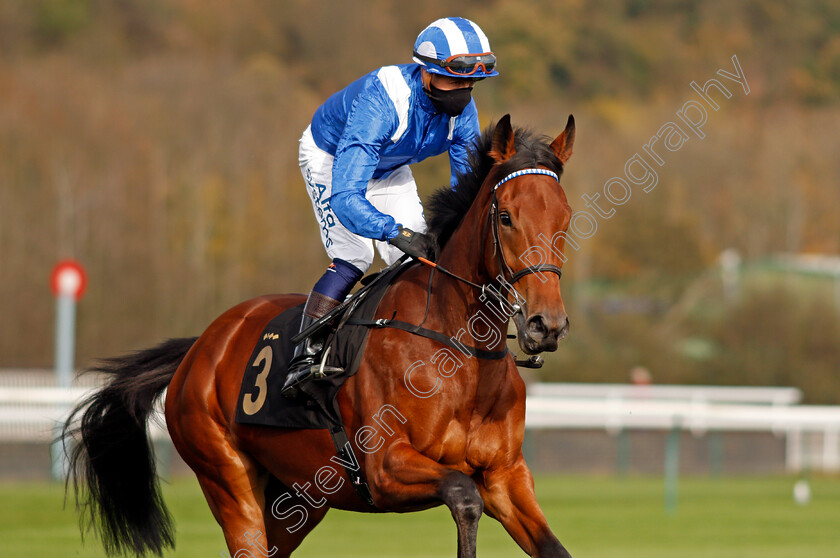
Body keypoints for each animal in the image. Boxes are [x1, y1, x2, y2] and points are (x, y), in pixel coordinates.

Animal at [65, 115, 576, 558]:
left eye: (566, 218)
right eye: (506, 217)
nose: (546, 324)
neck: (458, 350)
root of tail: (200, 348)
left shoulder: (507, 476)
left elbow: (551, 546)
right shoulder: (384, 467)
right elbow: (463, 494)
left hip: (299, 497)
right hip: (226, 477)